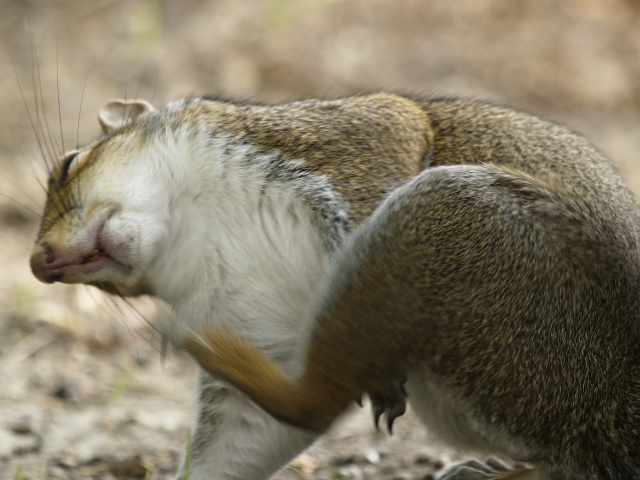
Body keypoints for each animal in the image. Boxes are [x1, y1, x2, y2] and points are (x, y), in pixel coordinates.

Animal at [30, 92, 640, 478]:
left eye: (71, 161)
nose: (40, 265)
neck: (197, 228)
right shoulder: (257, 320)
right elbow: (243, 438)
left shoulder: (355, 137)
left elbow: (385, 162)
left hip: (455, 237)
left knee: (320, 395)